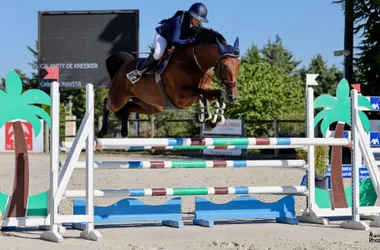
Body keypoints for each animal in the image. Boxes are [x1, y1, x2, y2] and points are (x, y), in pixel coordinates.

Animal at [98, 27, 240, 139]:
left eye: (238, 65)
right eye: (225, 65)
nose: (233, 96)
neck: (194, 63)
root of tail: (124, 66)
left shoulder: (204, 90)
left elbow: (218, 94)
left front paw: (213, 121)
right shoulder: (179, 97)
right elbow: (201, 93)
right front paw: (203, 117)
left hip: (149, 106)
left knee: (127, 107)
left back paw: (124, 132)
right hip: (118, 98)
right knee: (107, 103)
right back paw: (102, 132)